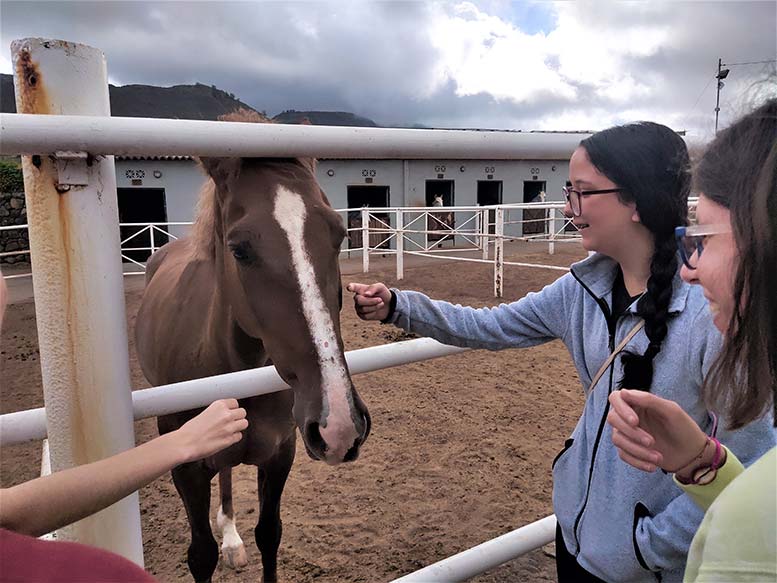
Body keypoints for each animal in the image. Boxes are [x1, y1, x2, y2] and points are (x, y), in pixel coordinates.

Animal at [136, 116, 370, 580]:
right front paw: (217, 545)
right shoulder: (185, 468)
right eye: (239, 249)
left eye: (339, 234)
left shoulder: (281, 455)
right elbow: (200, 553)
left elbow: (269, 533)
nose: (338, 426)